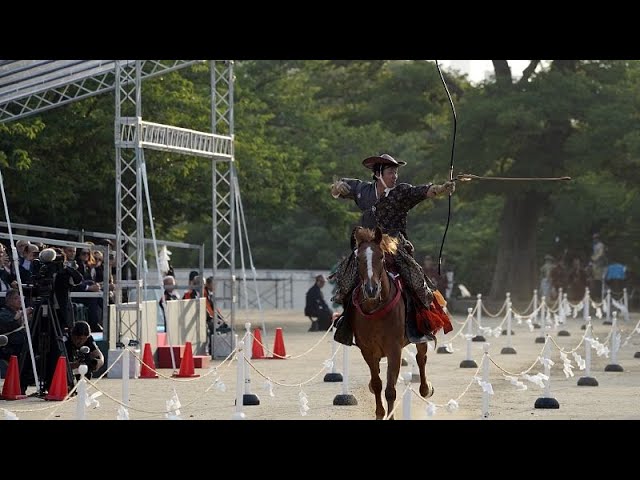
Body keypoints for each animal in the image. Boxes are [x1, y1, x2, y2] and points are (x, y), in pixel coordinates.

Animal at [350, 227, 436, 418]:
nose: (371, 289)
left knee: (421, 357)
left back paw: (426, 388)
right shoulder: (367, 351)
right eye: (358, 258)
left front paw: (390, 415)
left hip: (420, 334)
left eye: (381, 256)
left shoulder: (394, 350)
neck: (375, 310)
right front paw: (380, 413)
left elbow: (390, 390)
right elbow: (377, 383)